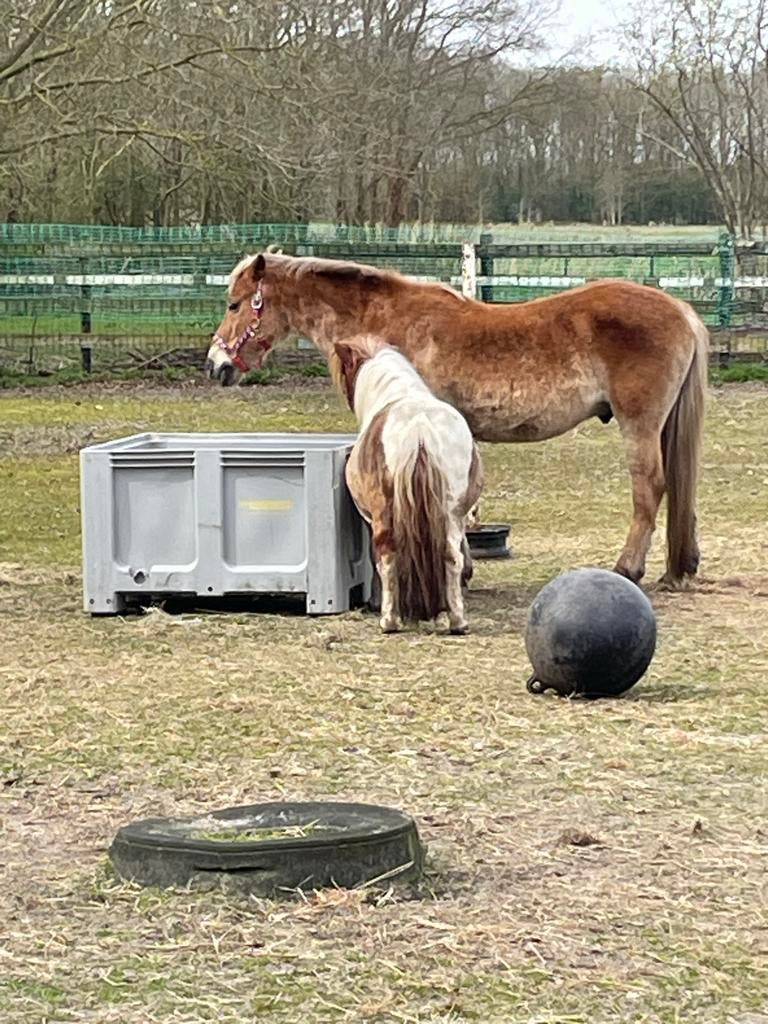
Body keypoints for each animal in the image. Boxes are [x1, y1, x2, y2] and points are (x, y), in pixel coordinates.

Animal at [205, 251, 708, 586]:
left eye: (234, 304)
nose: (216, 365)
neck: (386, 325)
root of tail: (681, 310)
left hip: (639, 425)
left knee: (650, 488)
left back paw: (628, 569)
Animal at [332, 336, 482, 634]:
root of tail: (420, 430)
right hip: (450, 513)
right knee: (451, 555)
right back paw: (457, 621)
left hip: (385, 516)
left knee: (387, 556)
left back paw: (389, 620)